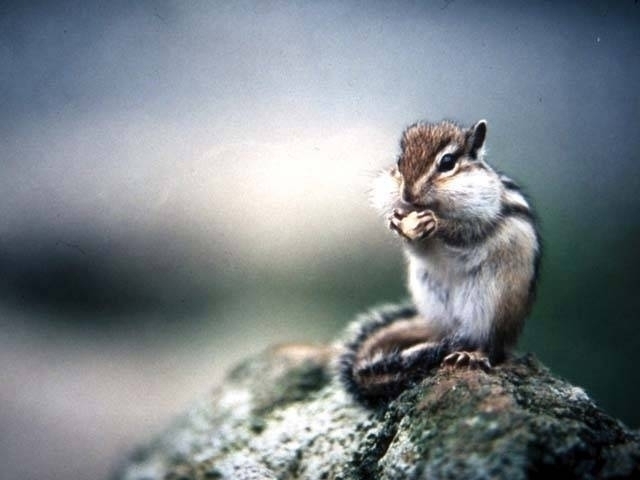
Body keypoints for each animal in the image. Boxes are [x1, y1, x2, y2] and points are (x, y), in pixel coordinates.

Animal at [339, 119, 541, 403]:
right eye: (399, 161)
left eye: (447, 162)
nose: (408, 195)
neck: (435, 204)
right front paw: (396, 221)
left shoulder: (484, 213)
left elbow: (466, 231)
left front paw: (435, 223)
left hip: (494, 304)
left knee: (493, 346)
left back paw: (472, 355)